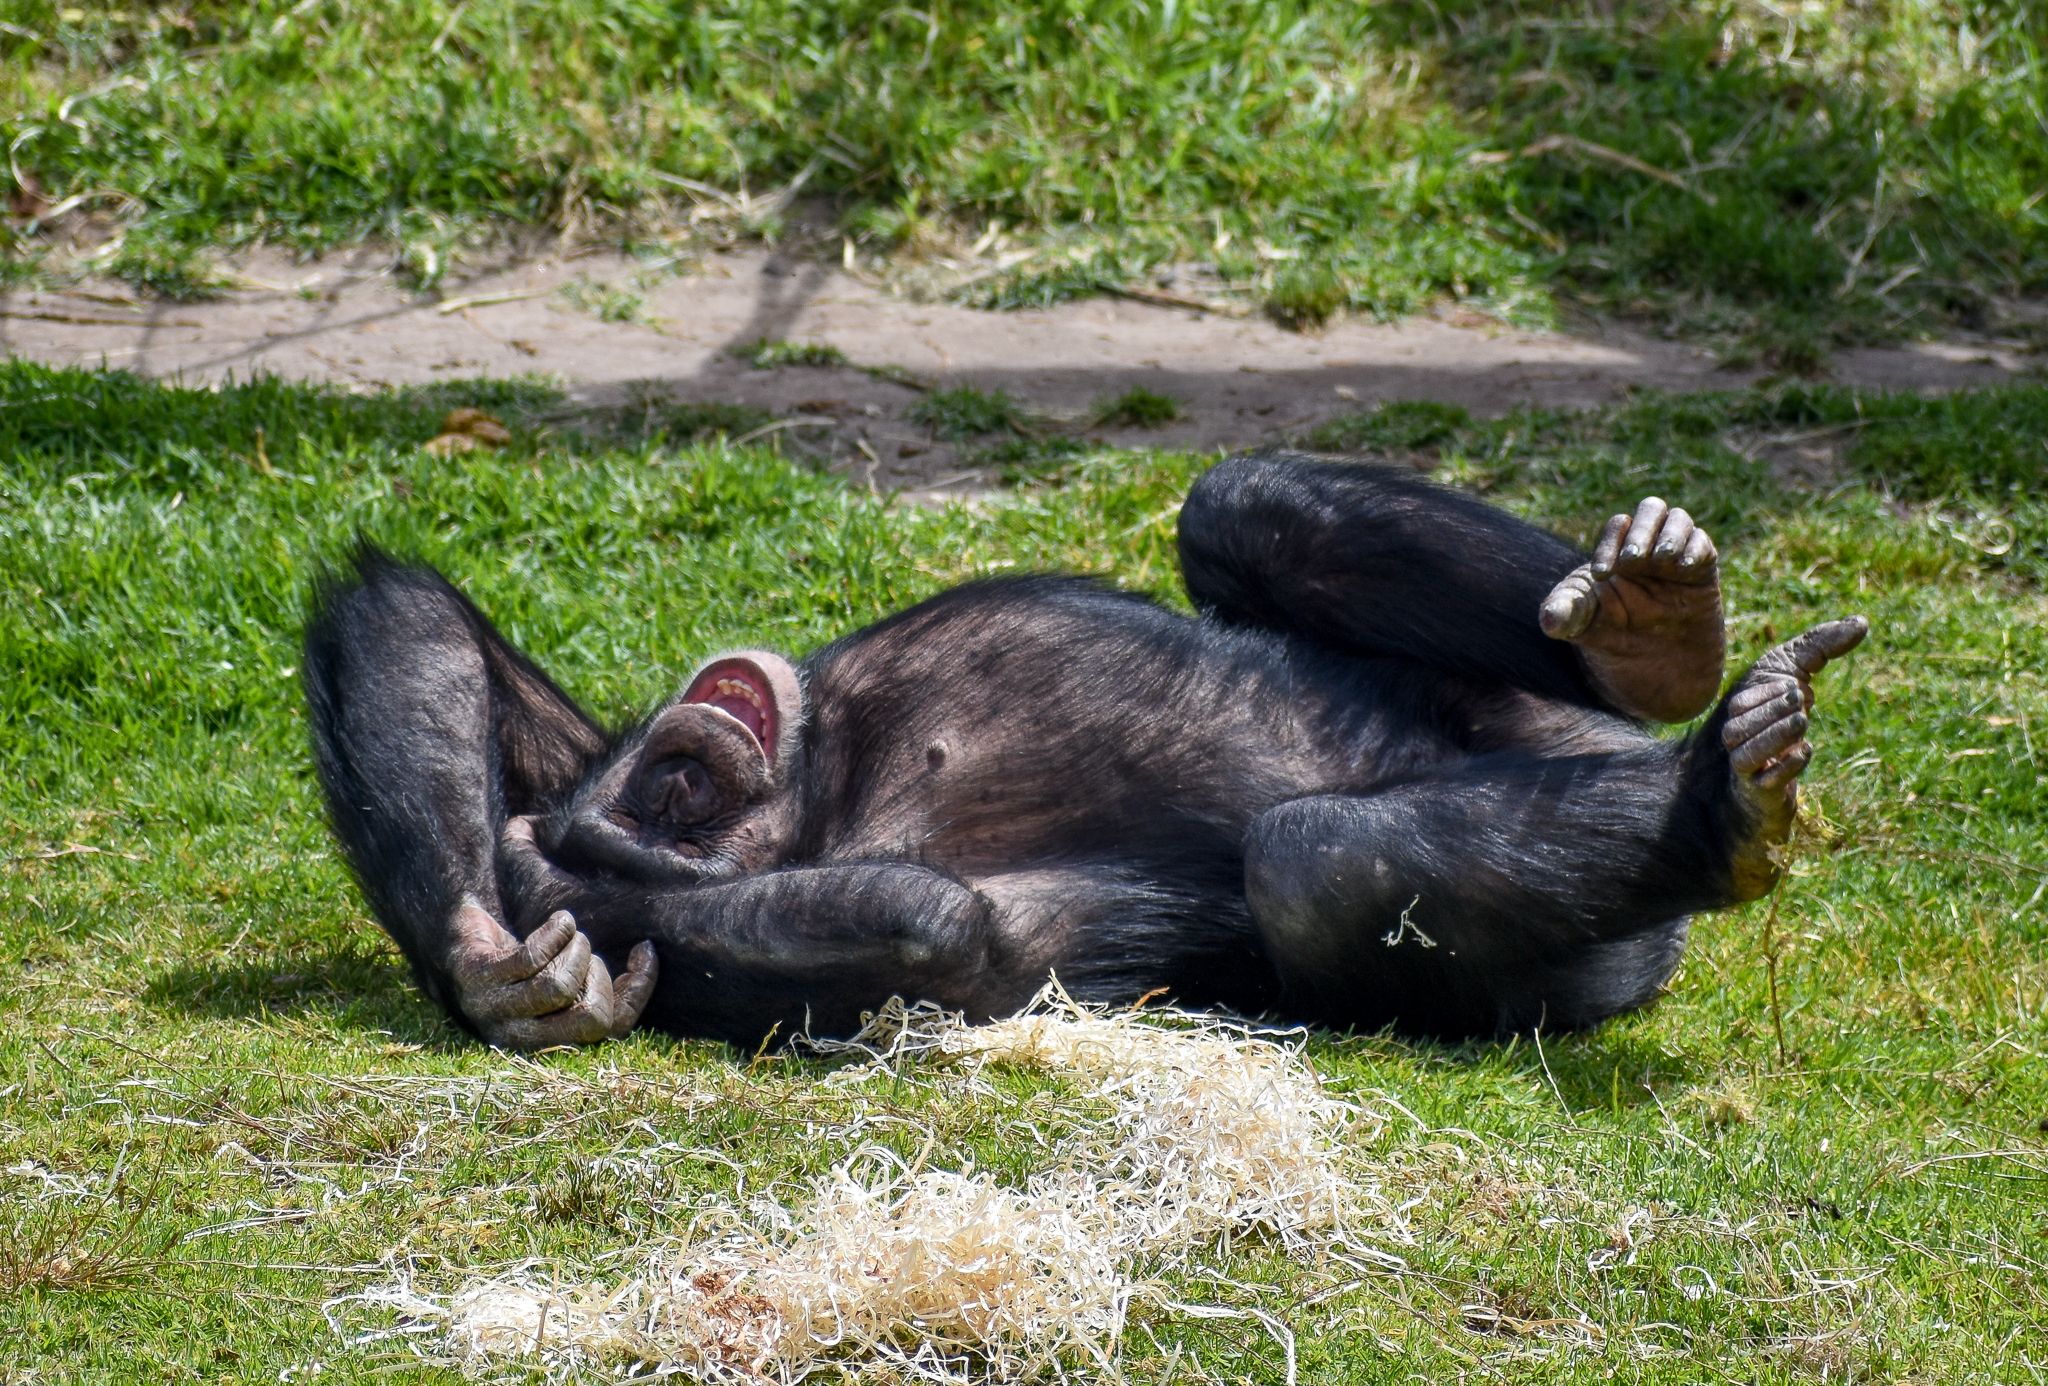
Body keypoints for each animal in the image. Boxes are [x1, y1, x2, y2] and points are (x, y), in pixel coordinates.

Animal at [301, 449, 1866, 1049]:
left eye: (674, 783)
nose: (696, 753)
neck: (835, 758)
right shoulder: (934, 918)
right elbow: (938, 931)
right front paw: (516, 947)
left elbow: (416, 619)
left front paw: (494, 942)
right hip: (1590, 947)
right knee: (1317, 865)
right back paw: (1708, 809)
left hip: (1529, 711)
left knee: (1253, 501)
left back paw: (1657, 634)